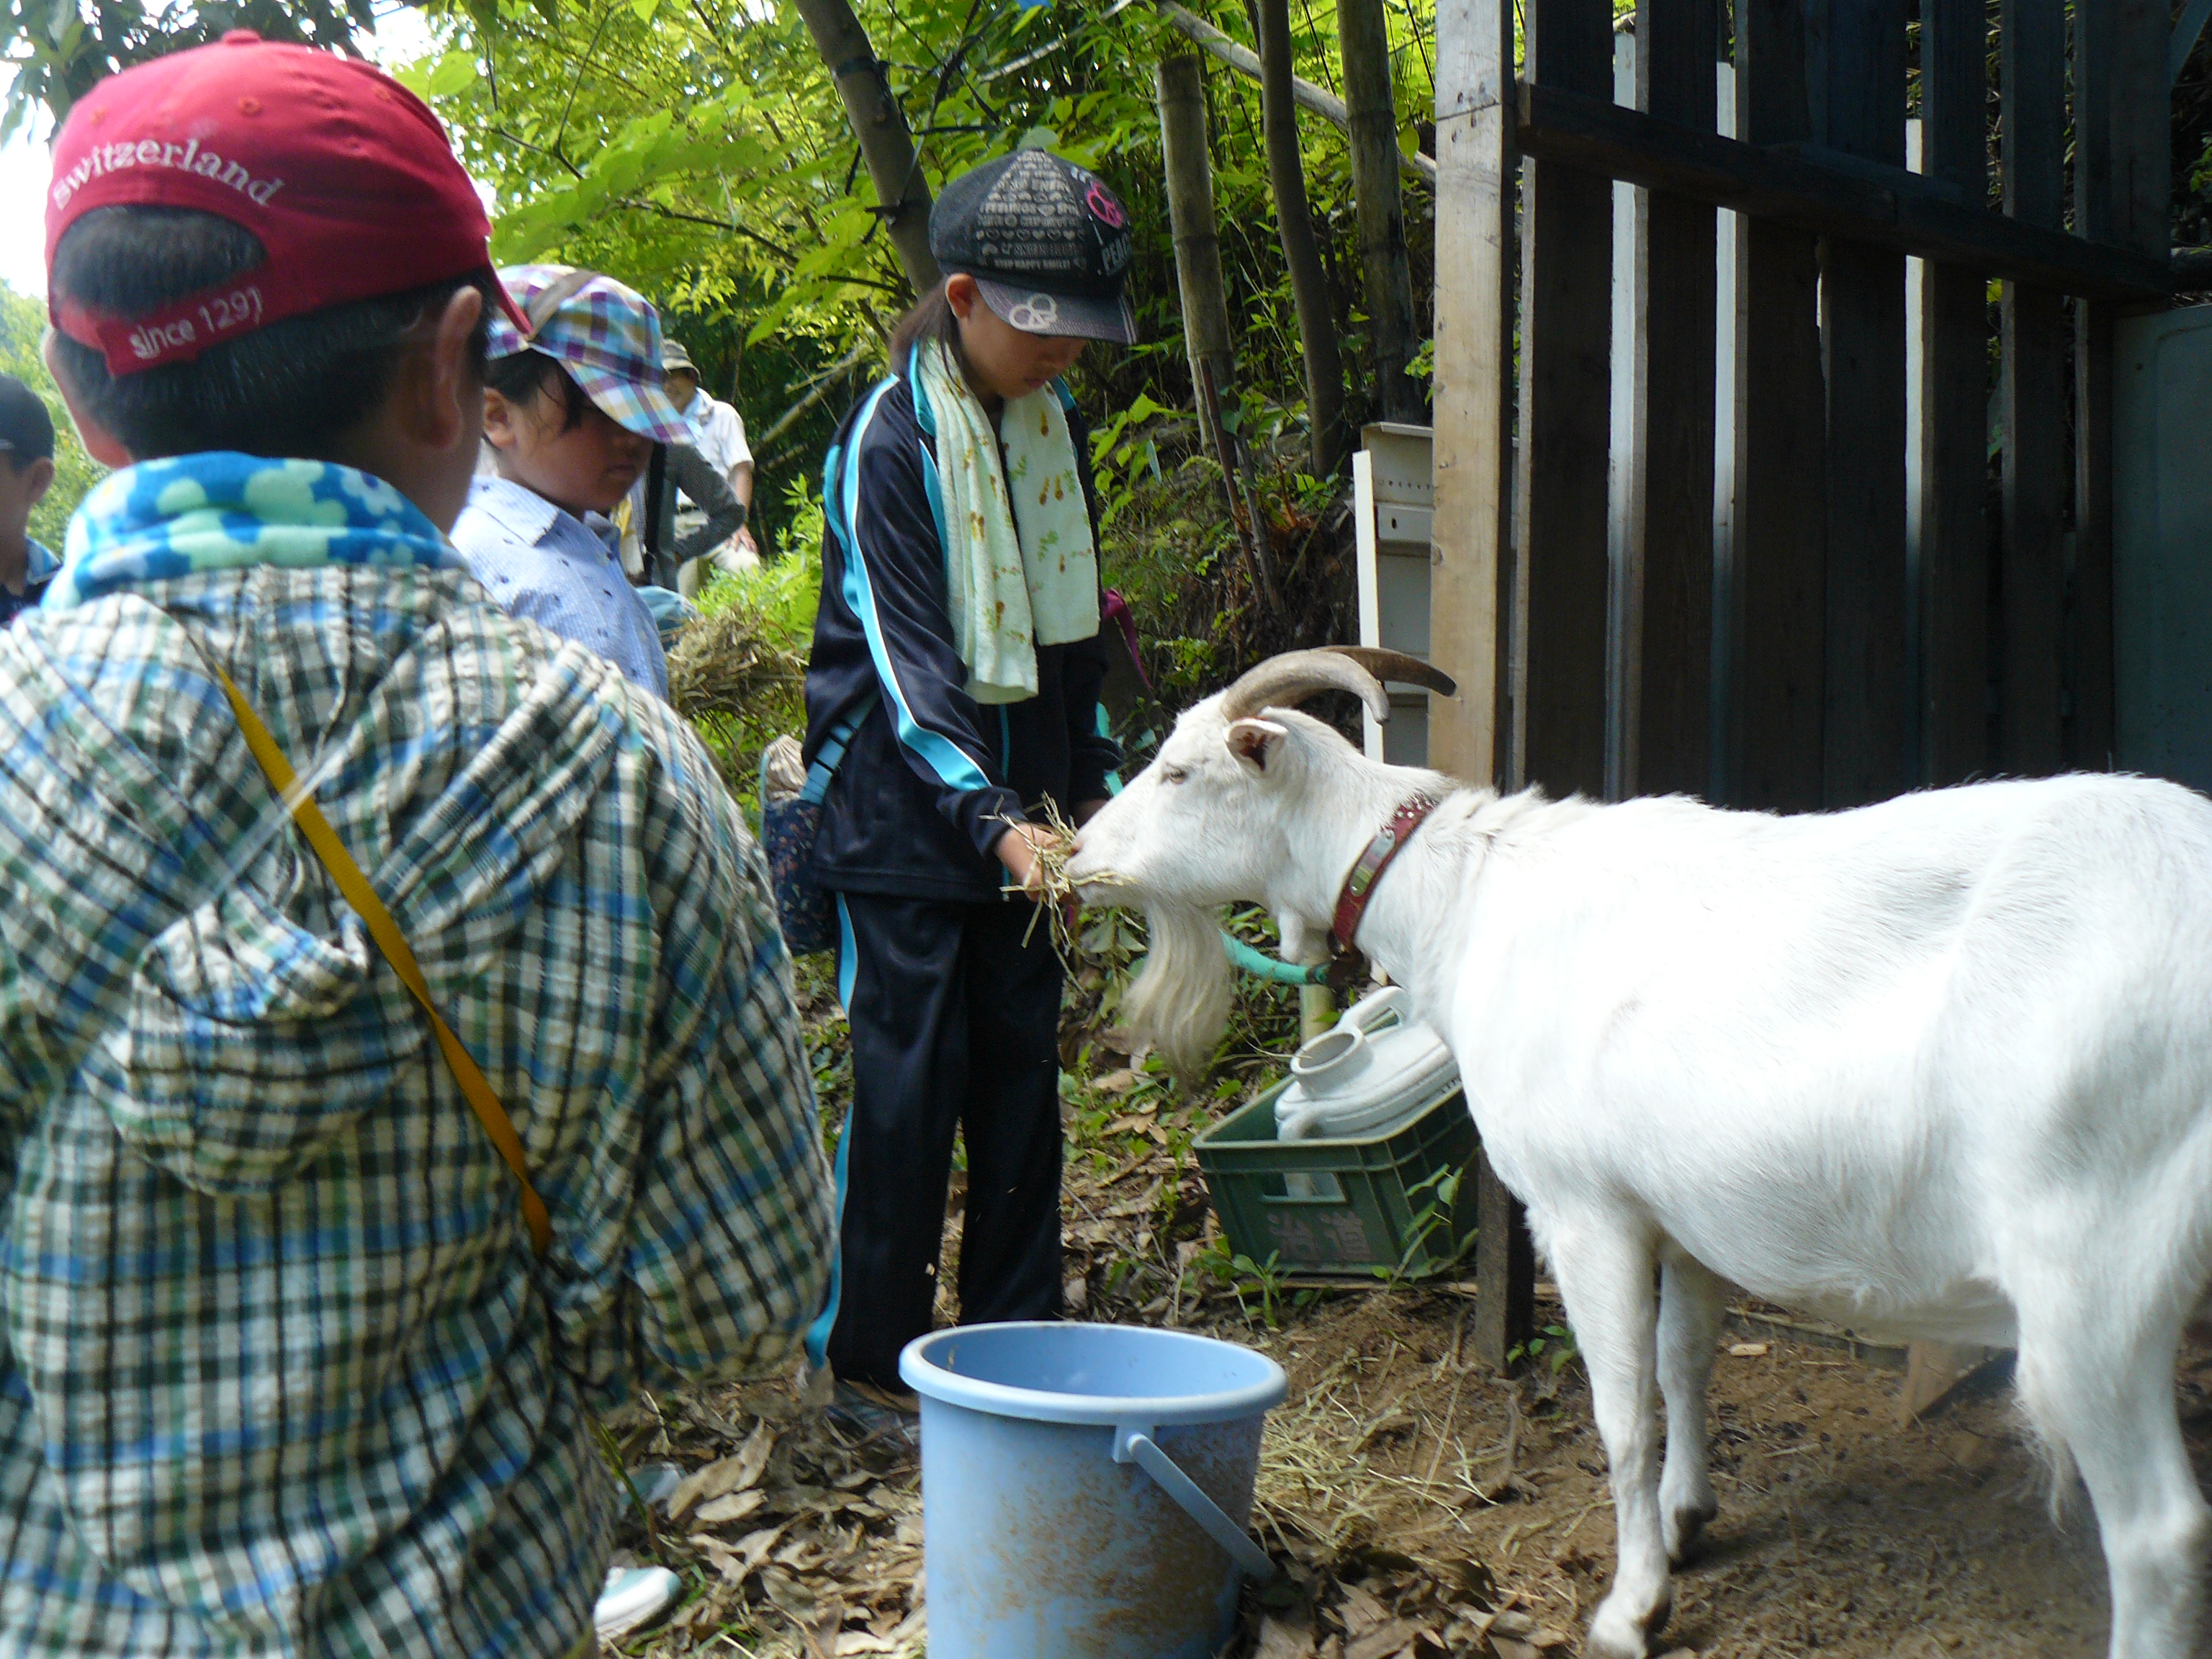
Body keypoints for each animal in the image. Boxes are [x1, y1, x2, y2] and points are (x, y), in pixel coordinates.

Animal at [1066, 650, 2212, 1659]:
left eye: (1181, 772)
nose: (1075, 858)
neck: (1465, 898)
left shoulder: (1584, 1209)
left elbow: (1623, 1412)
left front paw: (1632, 1608)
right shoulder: (1687, 1212)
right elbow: (1686, 1362)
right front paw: (1686, 1519)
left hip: (2090, 1257)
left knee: (2159, 1531)